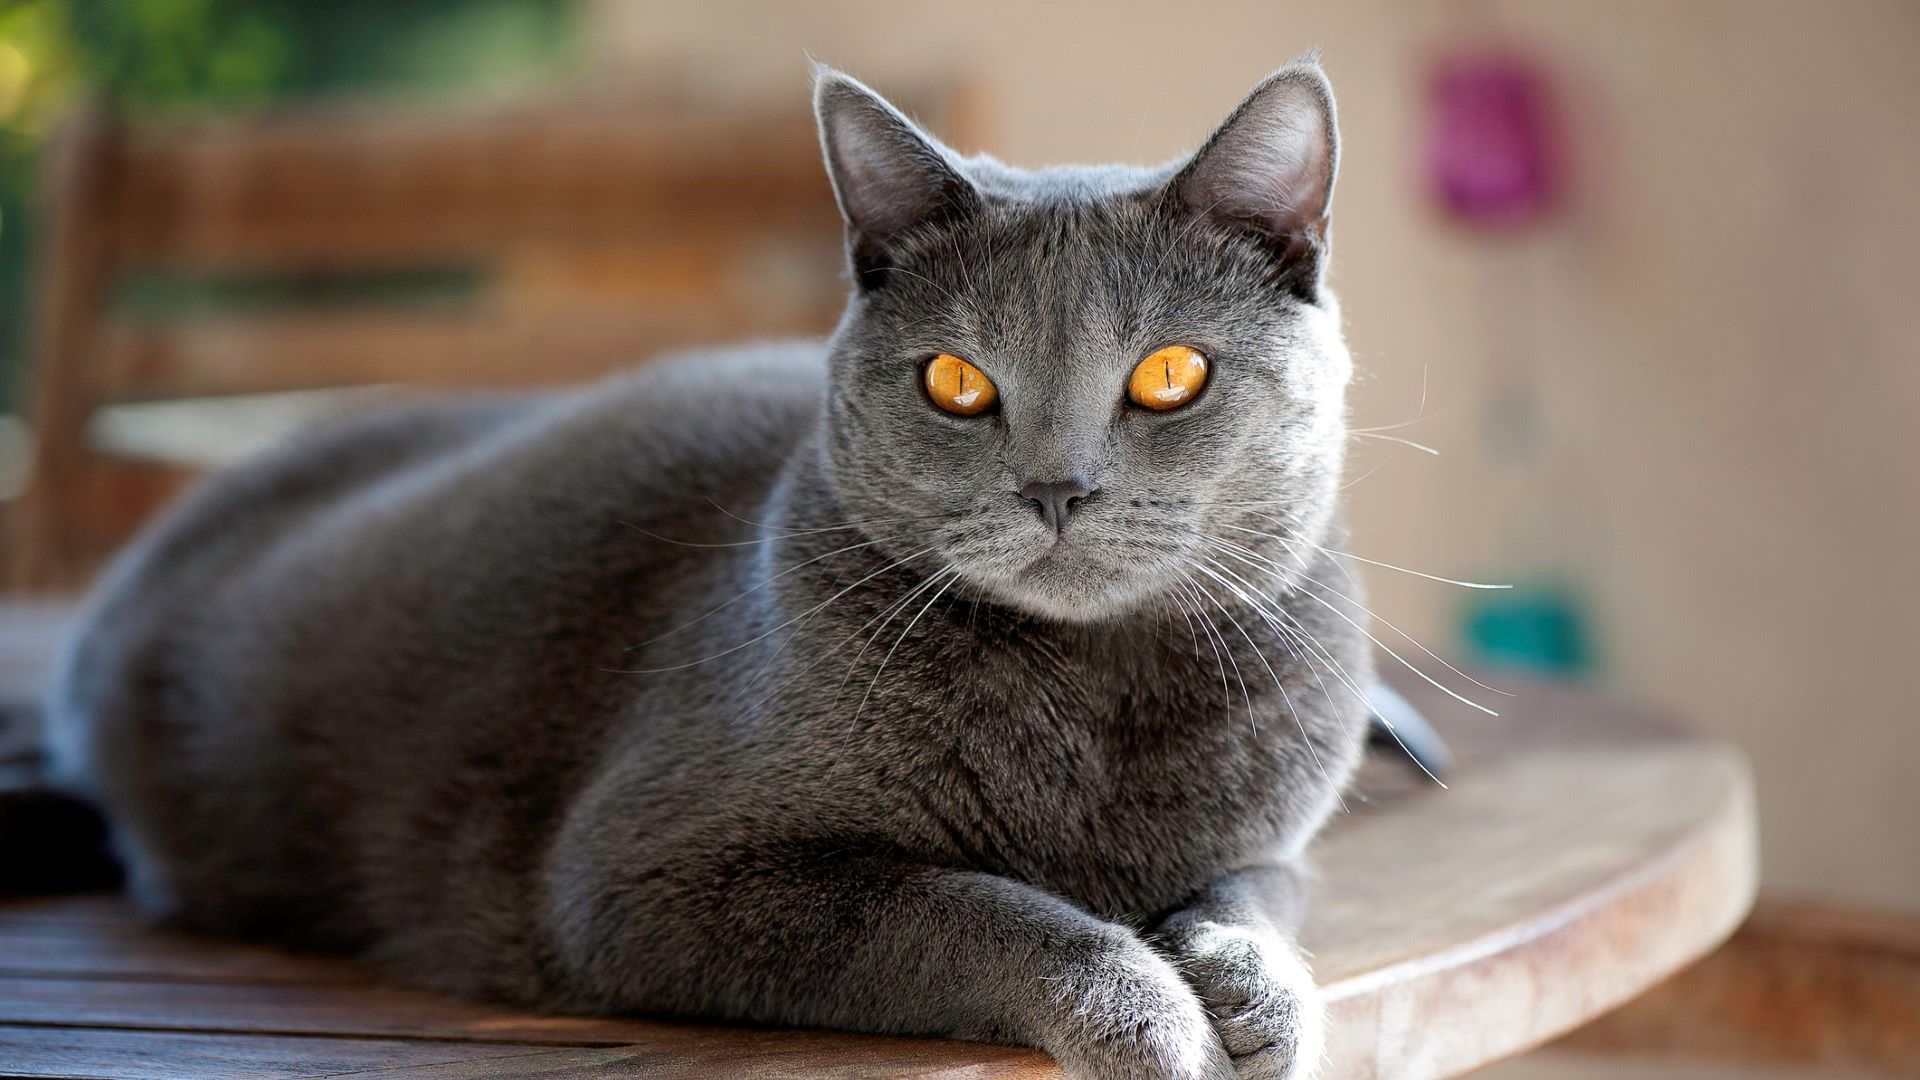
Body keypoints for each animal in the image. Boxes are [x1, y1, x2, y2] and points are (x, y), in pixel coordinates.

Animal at [45, 58, 1367, 1076]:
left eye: (1170, 374)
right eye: (955, 383)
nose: (1057, 488)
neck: (1096, 703)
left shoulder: (1276, 838)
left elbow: (1262, 890)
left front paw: (1259, 990)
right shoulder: (651, 878)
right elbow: (978, 910)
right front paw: (1150, 1014)